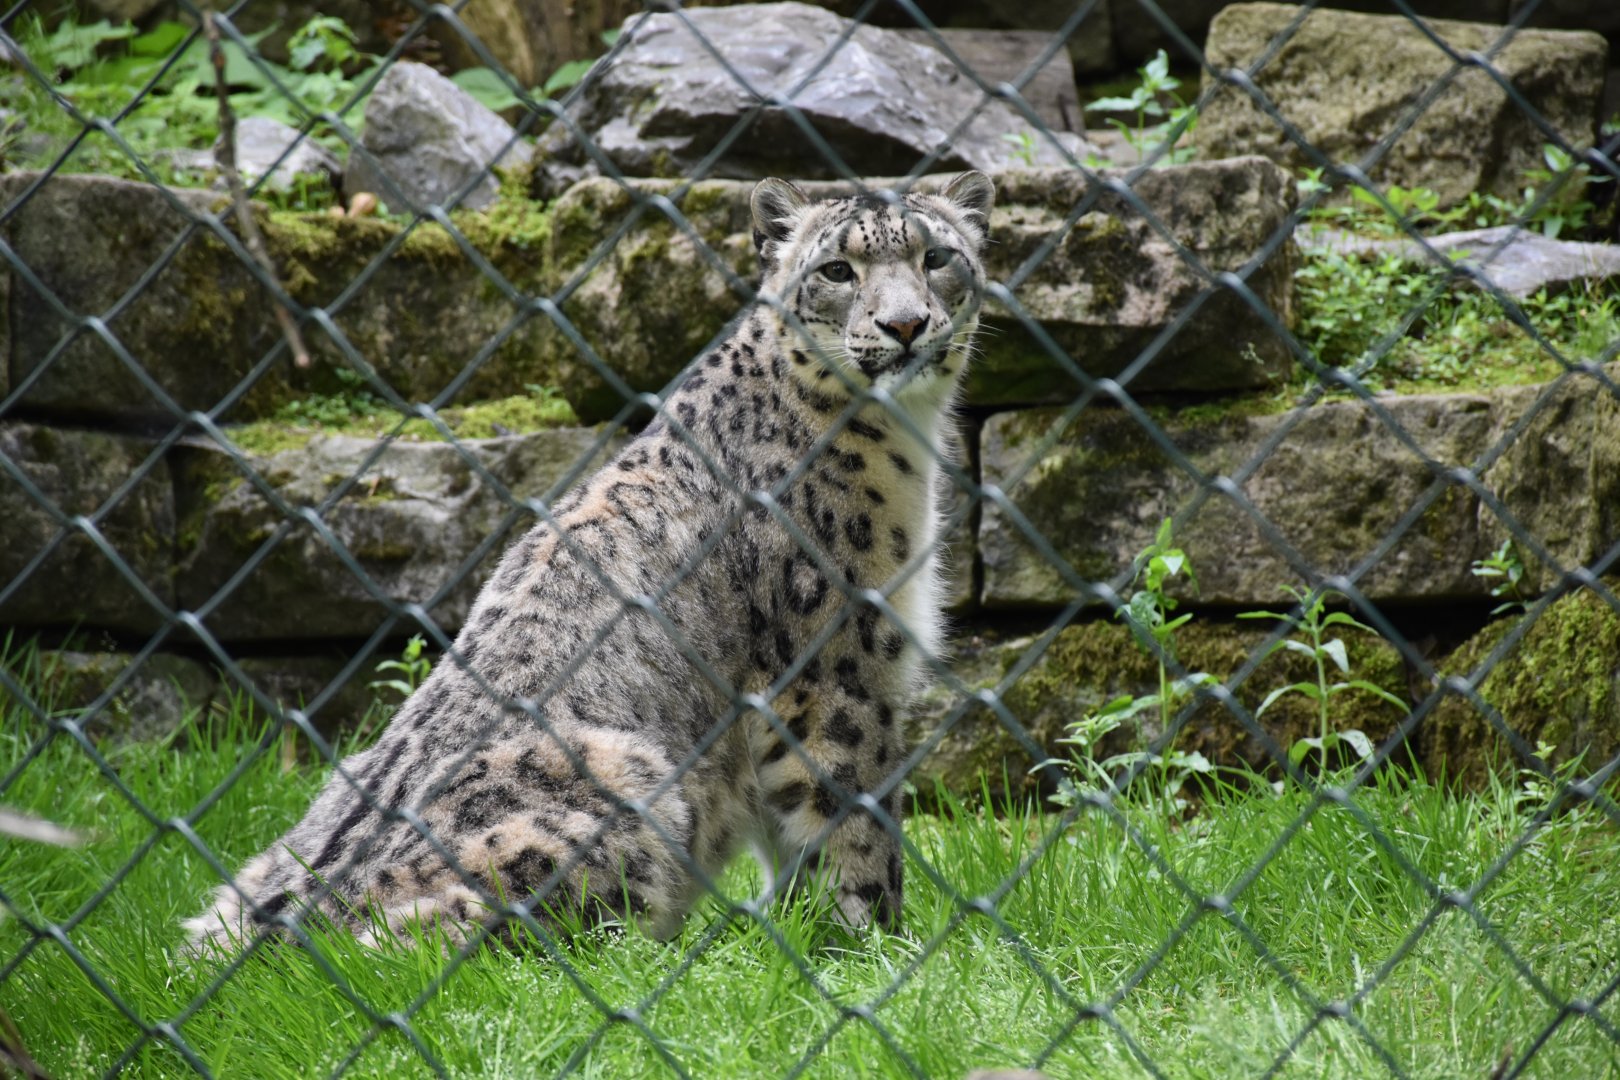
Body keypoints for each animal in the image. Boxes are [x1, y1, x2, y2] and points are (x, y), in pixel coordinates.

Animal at [184, 170, 995, 956]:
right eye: (836, 269)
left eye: (936, 257)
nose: (905, 324)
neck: (906, 446)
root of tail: (291, 928)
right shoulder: (837, 669)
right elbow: (850, 815)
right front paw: (877, 939)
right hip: (617, 783)